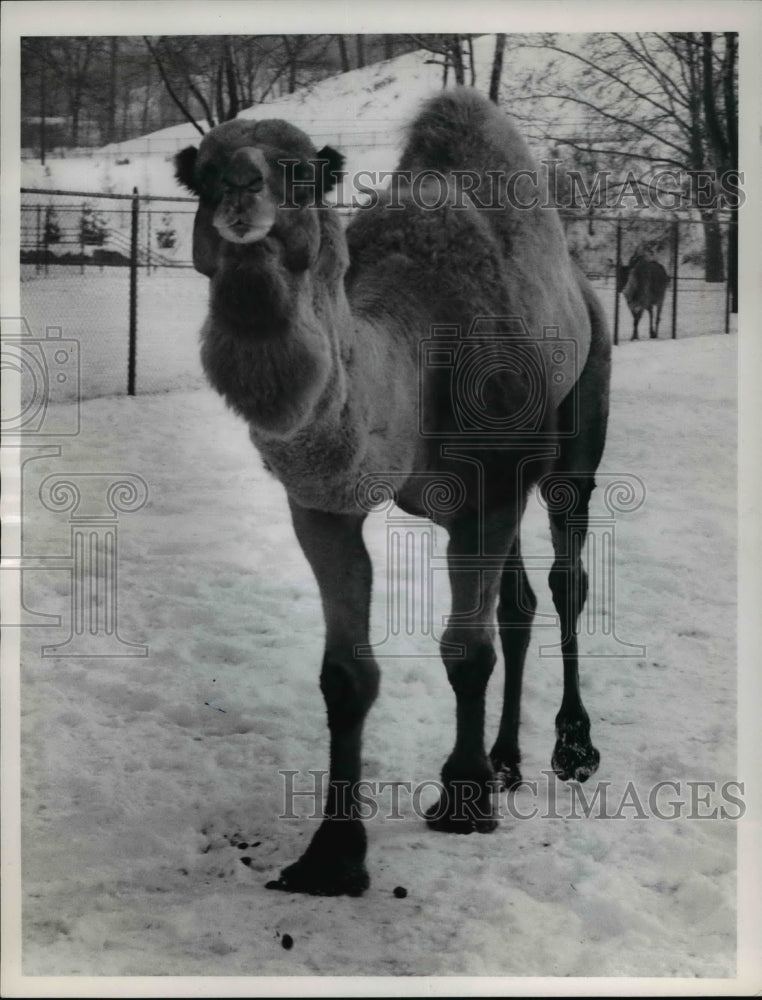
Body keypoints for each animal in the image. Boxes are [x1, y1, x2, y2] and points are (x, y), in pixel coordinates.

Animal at [175, 88, 608, 900]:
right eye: (201, 176)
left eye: (302, 172)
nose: (241, 191)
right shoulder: (325, 504)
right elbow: (346, 674)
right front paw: (332, 856)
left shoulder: (493, 483)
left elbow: (465, 651)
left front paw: (462, 802)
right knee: (519, 602)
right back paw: (507, 761)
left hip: (578, 420)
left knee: (568, 574)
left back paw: (571, 750)